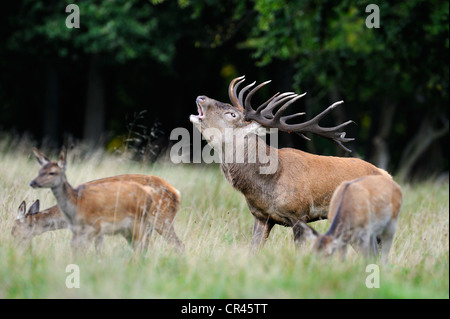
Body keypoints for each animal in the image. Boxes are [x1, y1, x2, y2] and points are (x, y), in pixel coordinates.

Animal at [190, 76, 390, 254]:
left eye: (232, 114)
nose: (201, 97)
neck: (267, 182)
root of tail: (386, 175)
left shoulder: (300, 214)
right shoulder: (261, 217)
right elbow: (253, 251)